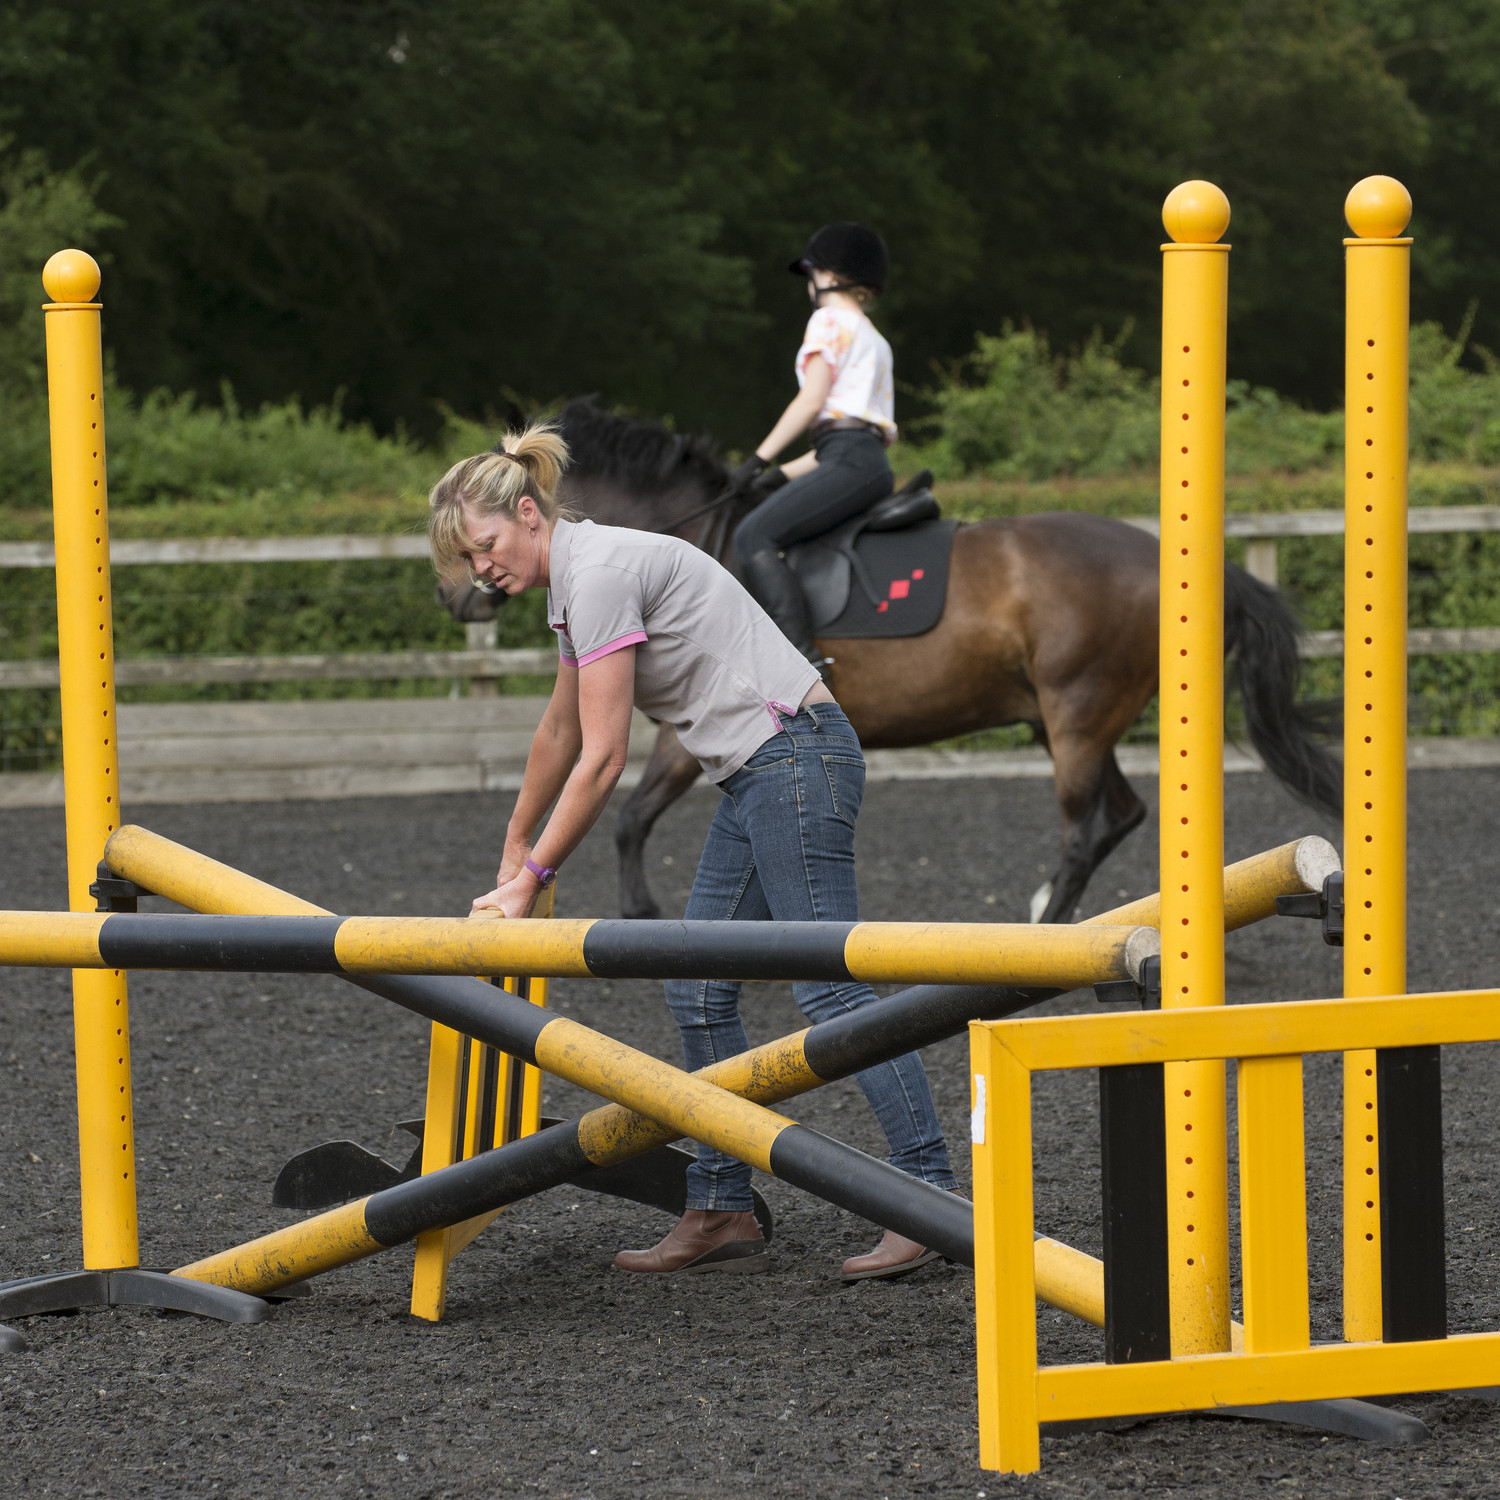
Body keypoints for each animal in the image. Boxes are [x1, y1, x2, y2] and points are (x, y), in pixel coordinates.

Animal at [513, 399, 1338, 918]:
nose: (478, 598)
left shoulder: (691, 736)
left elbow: (633, 816)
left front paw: (640, 909)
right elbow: (637, 819)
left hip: (1078, 712)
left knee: (1082, 830)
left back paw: (1046, 929)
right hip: (1070, 719)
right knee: (1121, 814)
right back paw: (1052, 911)